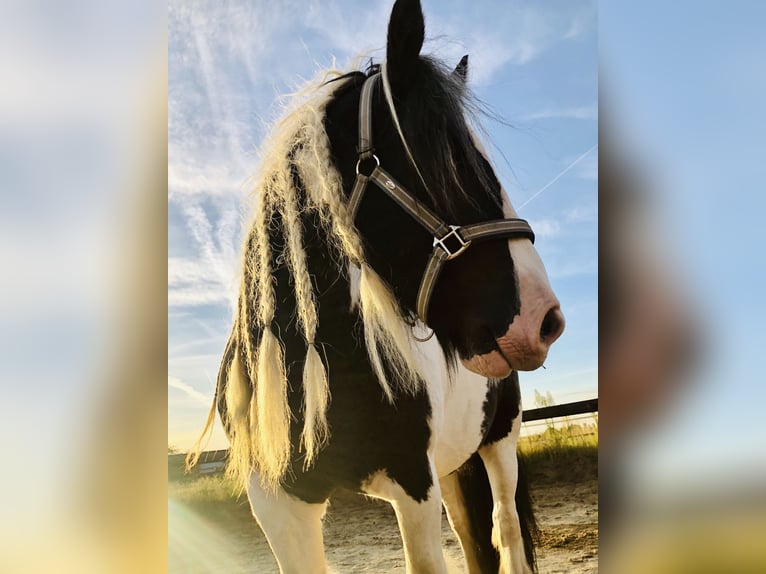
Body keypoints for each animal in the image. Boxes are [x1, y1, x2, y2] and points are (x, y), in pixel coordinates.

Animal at [189, 2, 568, 572]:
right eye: (443, 158)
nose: (543, 319)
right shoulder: (278, 505)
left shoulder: (413, 485)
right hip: (453, 466)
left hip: (501, 438)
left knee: (505, 530)